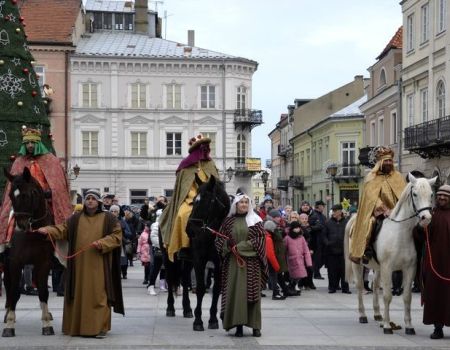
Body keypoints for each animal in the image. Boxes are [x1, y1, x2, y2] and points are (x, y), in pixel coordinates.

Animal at [2, 168, 55, 338]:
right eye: (11, 195)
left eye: (26, 195)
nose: (20, 226)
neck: (33, 233)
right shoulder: (15, 262)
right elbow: (14, 292)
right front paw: (9, 325)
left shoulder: (44, 263)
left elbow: (43, 292)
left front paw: (47, 324)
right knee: (9, 287)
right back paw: (8, 314)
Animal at [344, 174, 436, 334]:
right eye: (415, 194)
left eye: (431, 194)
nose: (426, 218)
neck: (401, 233)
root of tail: (354, 219)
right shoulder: (388, 267)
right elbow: (387, 296)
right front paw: (387, 326)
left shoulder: (409, 268)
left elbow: (407, 297)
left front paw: (409, 326)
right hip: (358, 264)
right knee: (361, 286)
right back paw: (363, 315)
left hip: (378, 268)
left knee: (374, 286)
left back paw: (377, 314)